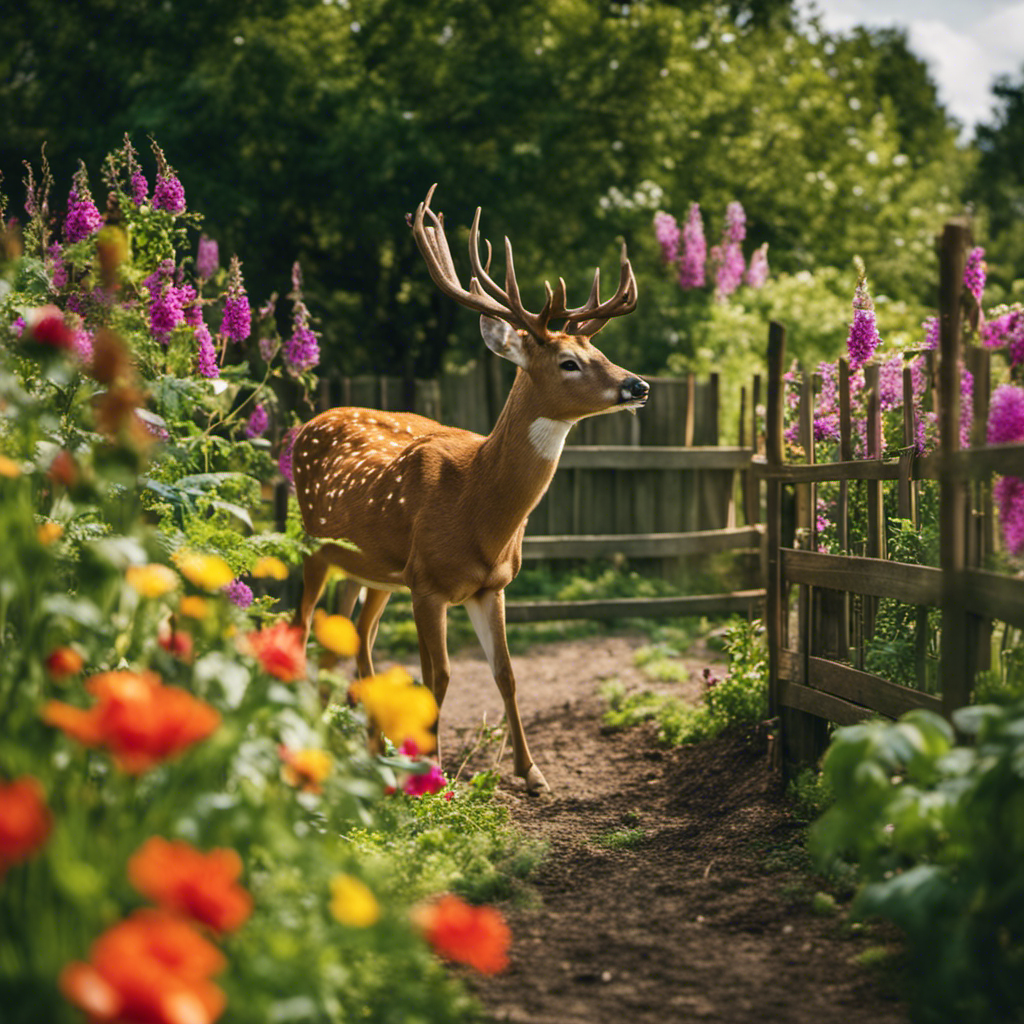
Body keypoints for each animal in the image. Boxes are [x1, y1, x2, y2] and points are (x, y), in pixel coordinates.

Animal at [292, 186, 647, 790]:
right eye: (569, 362)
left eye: (601, 354)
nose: (637, 385)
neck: (478, 510)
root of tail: (308, 424)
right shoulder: (428, 582)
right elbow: (437, 676)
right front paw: (431, 774)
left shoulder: (491, 585)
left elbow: (505, 673)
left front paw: (532, 773)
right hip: (316, 547)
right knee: (302, 630)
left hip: (372, 570)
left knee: (351, 639)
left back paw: (365, 749)